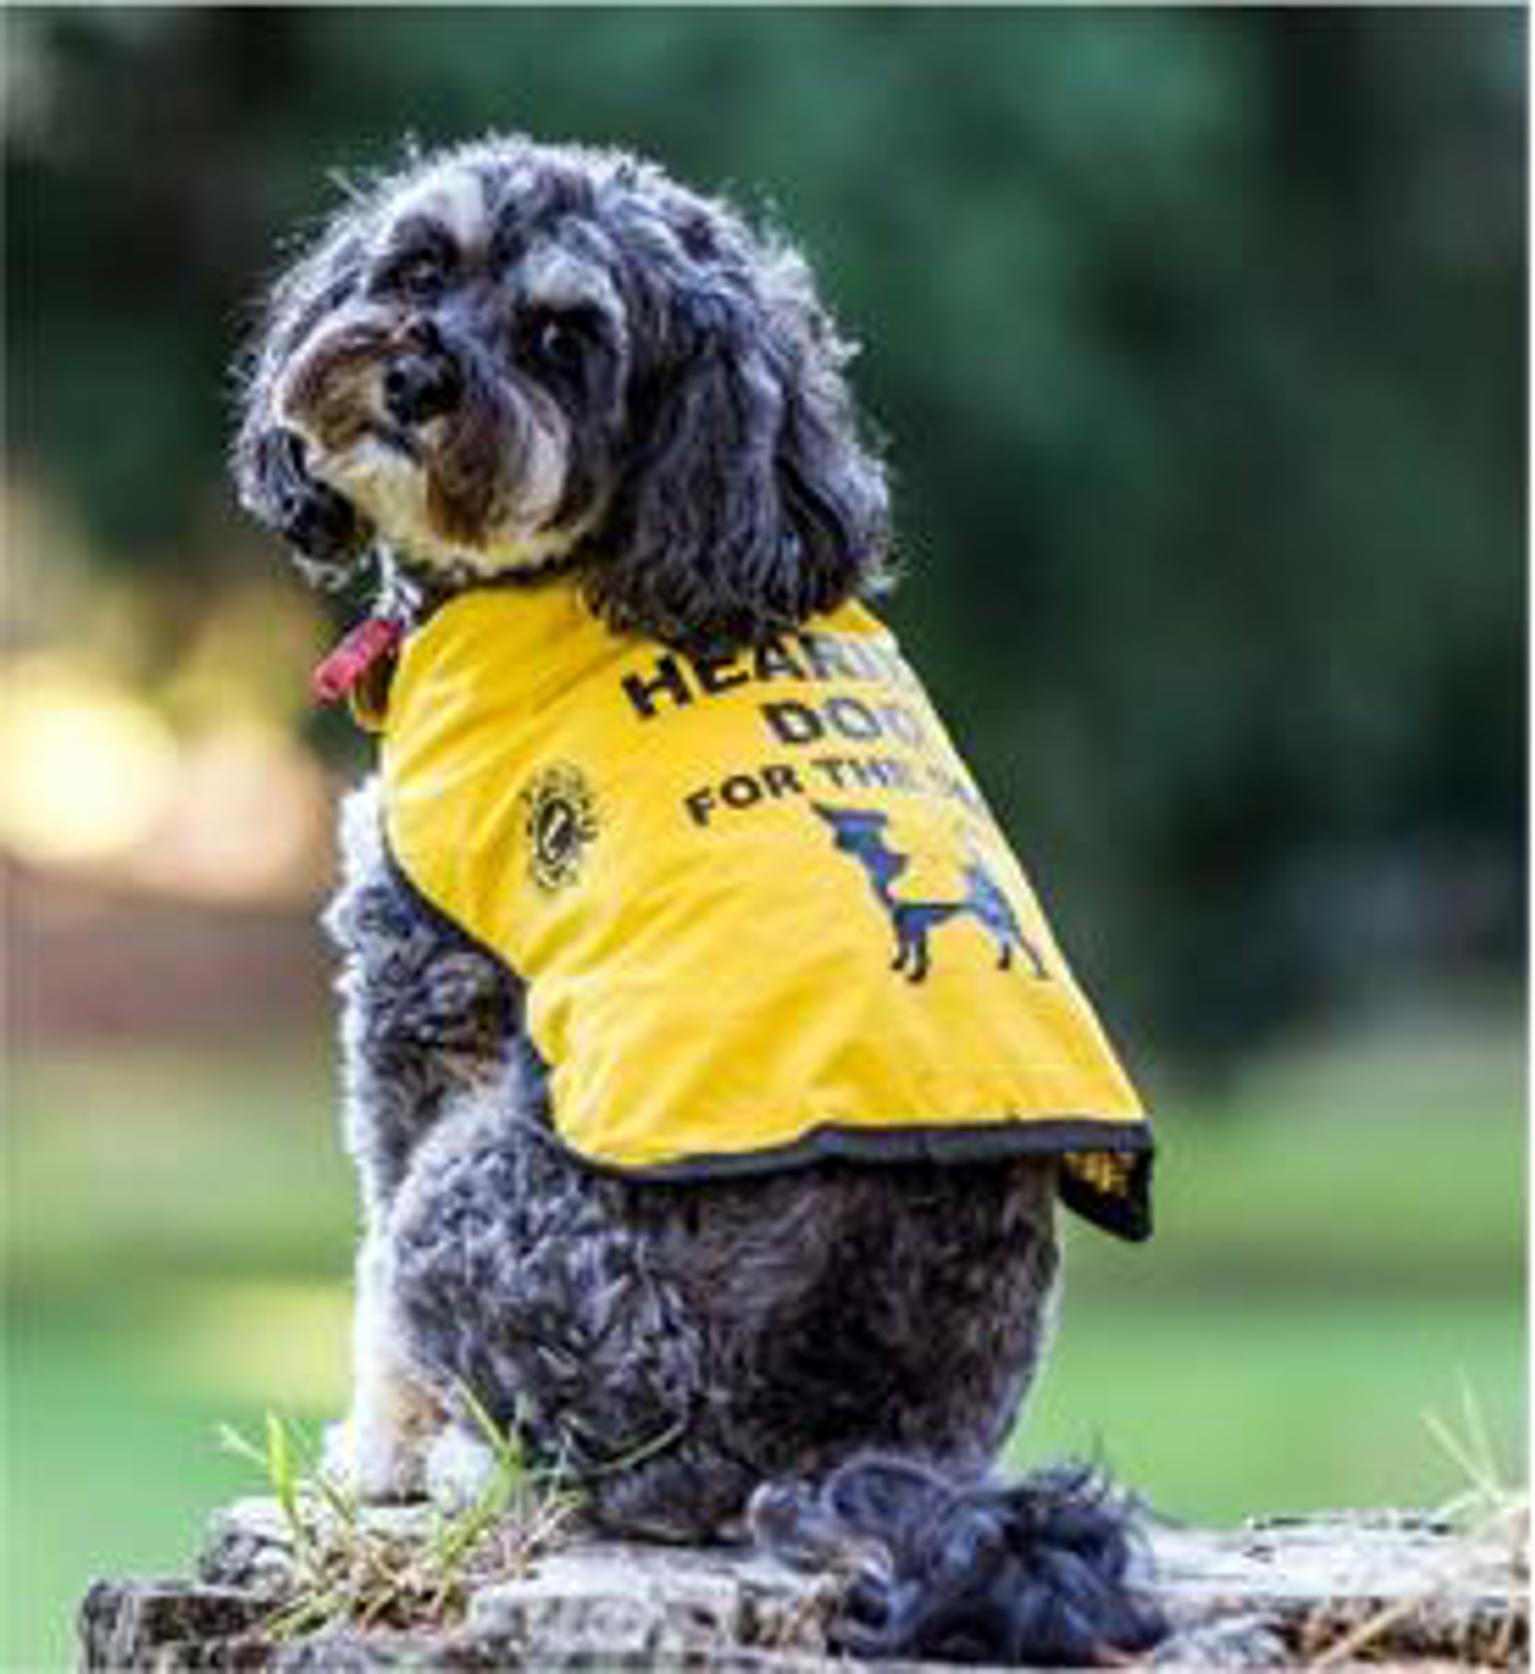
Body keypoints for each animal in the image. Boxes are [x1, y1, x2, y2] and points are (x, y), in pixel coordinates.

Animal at [234, 133, 1158, 1660]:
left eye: (563, 340)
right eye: (420, 266)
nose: (415, 375)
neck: (594, 558)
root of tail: (833, 1439)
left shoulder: (424, 990)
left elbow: (370, 1290)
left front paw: (376, 1455)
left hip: (484, 1186)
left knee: (591, 1461)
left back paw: (470, 1462)